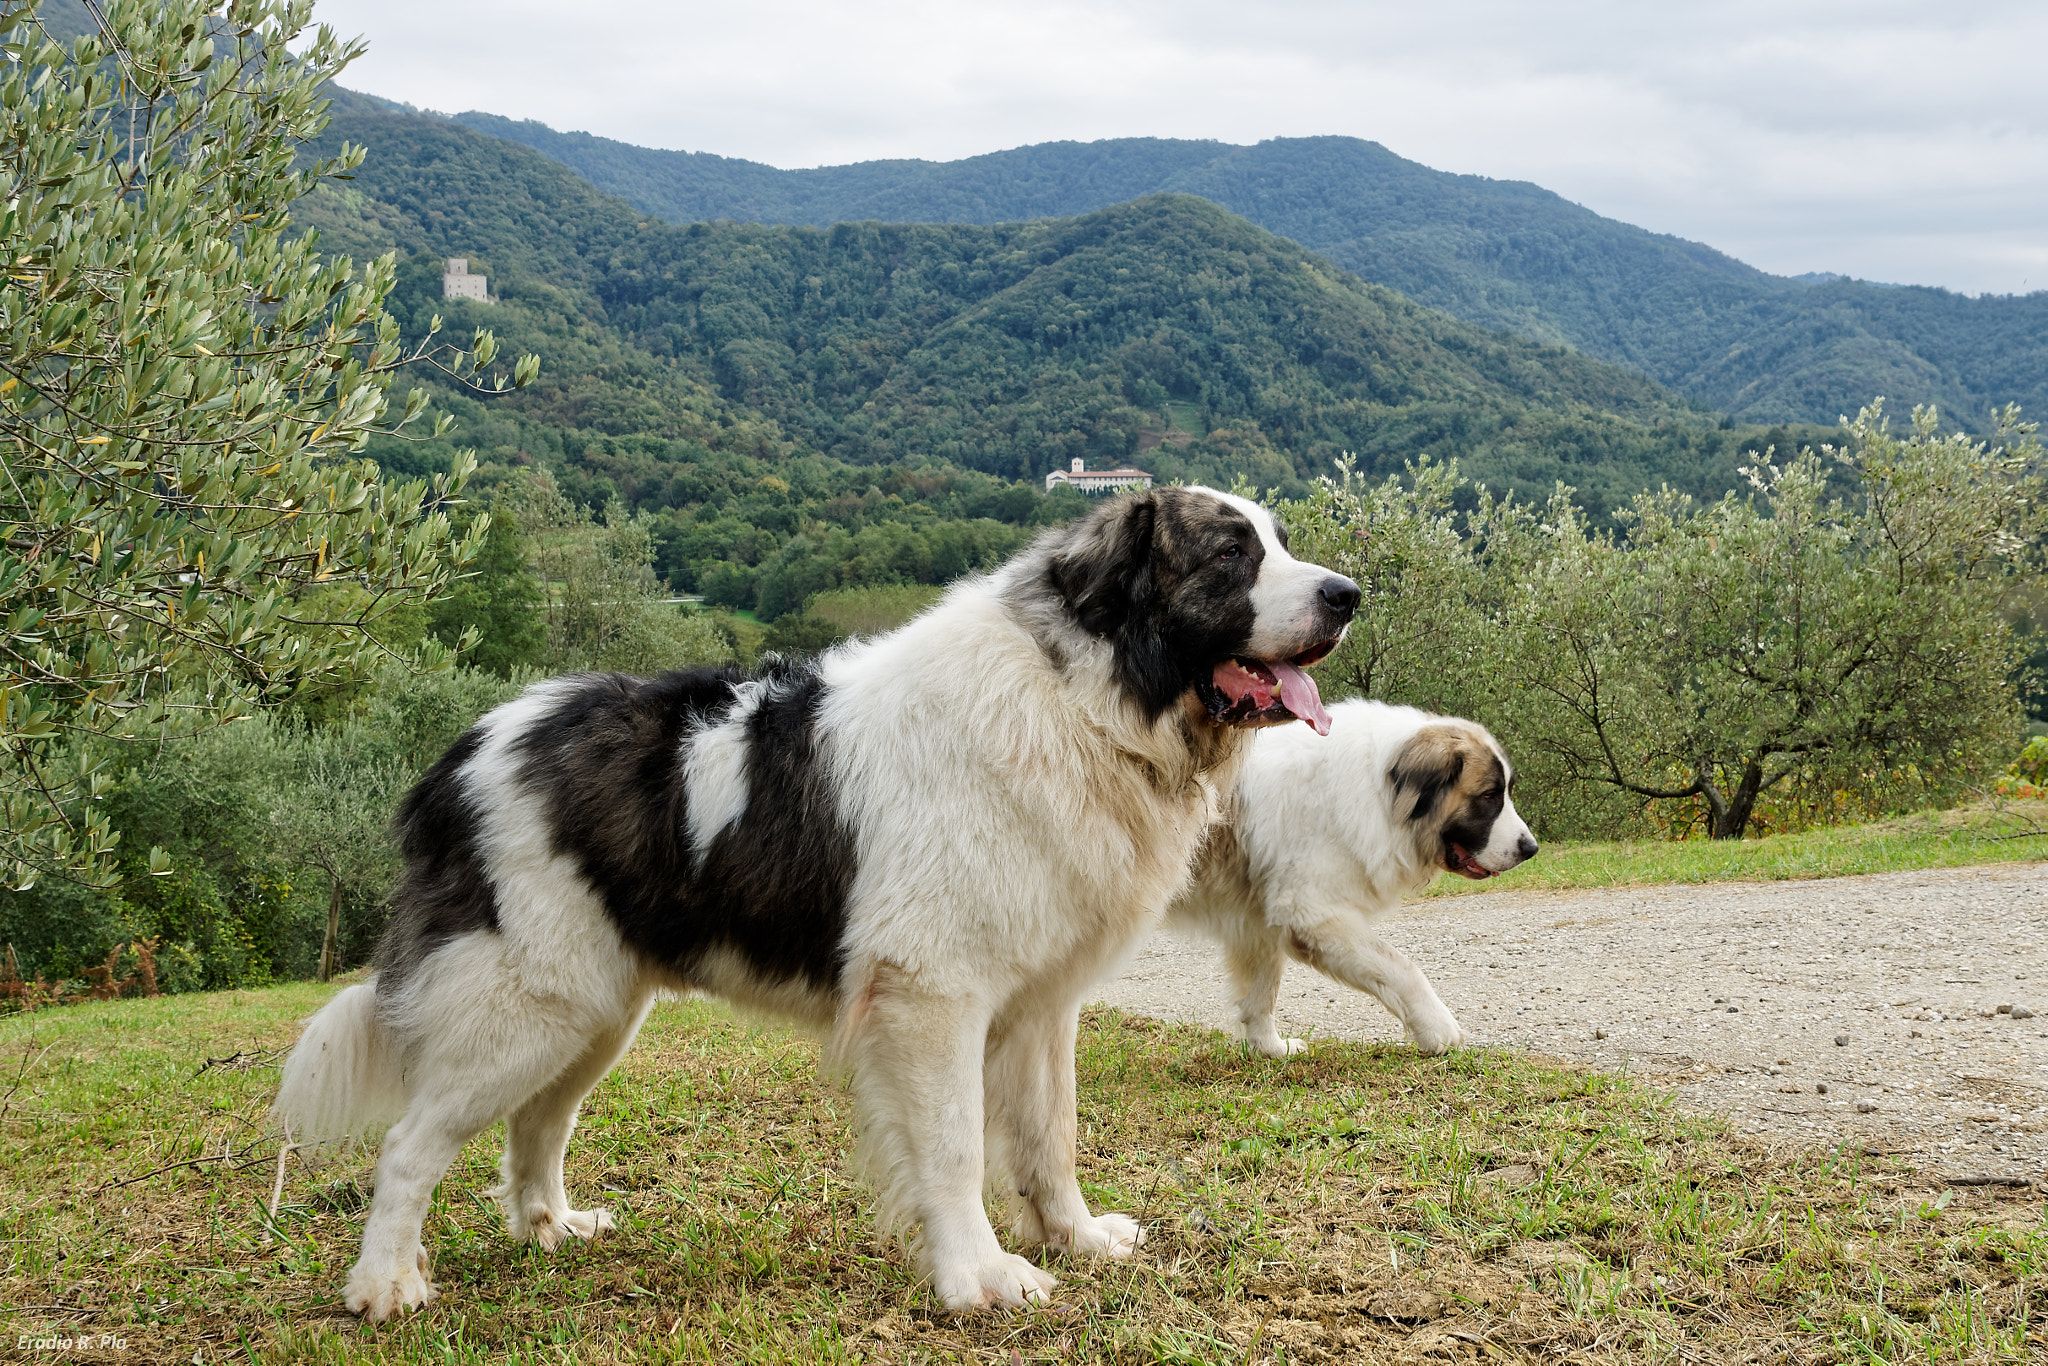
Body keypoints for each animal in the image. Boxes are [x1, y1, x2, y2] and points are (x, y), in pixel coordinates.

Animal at [272, 485, 1359, 1318]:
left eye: (1279, 540)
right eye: (1230, 553)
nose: (1348, 593)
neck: (1082, 700)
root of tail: (461, 754)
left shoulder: (1041, 1003)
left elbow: (1048, 1135)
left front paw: (1077, 1237)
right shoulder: (931, 997)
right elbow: (956, 1146)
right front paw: (979, 1277)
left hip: (591, 1013)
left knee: (535, 1126)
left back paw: (552, 1229)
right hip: (523, 1007)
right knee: (411, 1144)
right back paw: (381, 1287)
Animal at [1171, 700, 1540, 1064]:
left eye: (1505, 792)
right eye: (1489, 796)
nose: (1531, 849)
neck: (1379, 793)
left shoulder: (1261, 922)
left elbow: (1261, 994)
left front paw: (1270, 1047)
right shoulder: (1314, 914)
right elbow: (1402, 969)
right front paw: (1438, 1028)